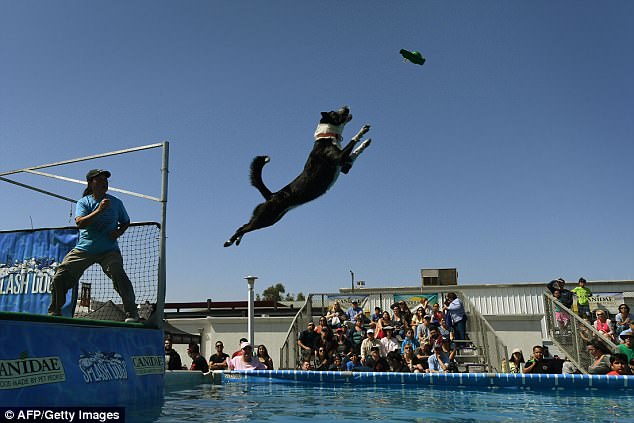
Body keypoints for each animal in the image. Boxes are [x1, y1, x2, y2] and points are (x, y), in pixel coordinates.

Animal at [224, 106, 371, 247]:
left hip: (271, 220)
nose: (346, 107)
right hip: (265, 217)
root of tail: (272, 195)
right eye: (334, 113)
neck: (327, 136)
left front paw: (366, 142)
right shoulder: (339, 157)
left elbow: (356, 152)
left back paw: (236, 240)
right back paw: (229, 241)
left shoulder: (345, 166)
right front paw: (362, 131)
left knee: (243, 226)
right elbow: (352, 141)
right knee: (243, 228)